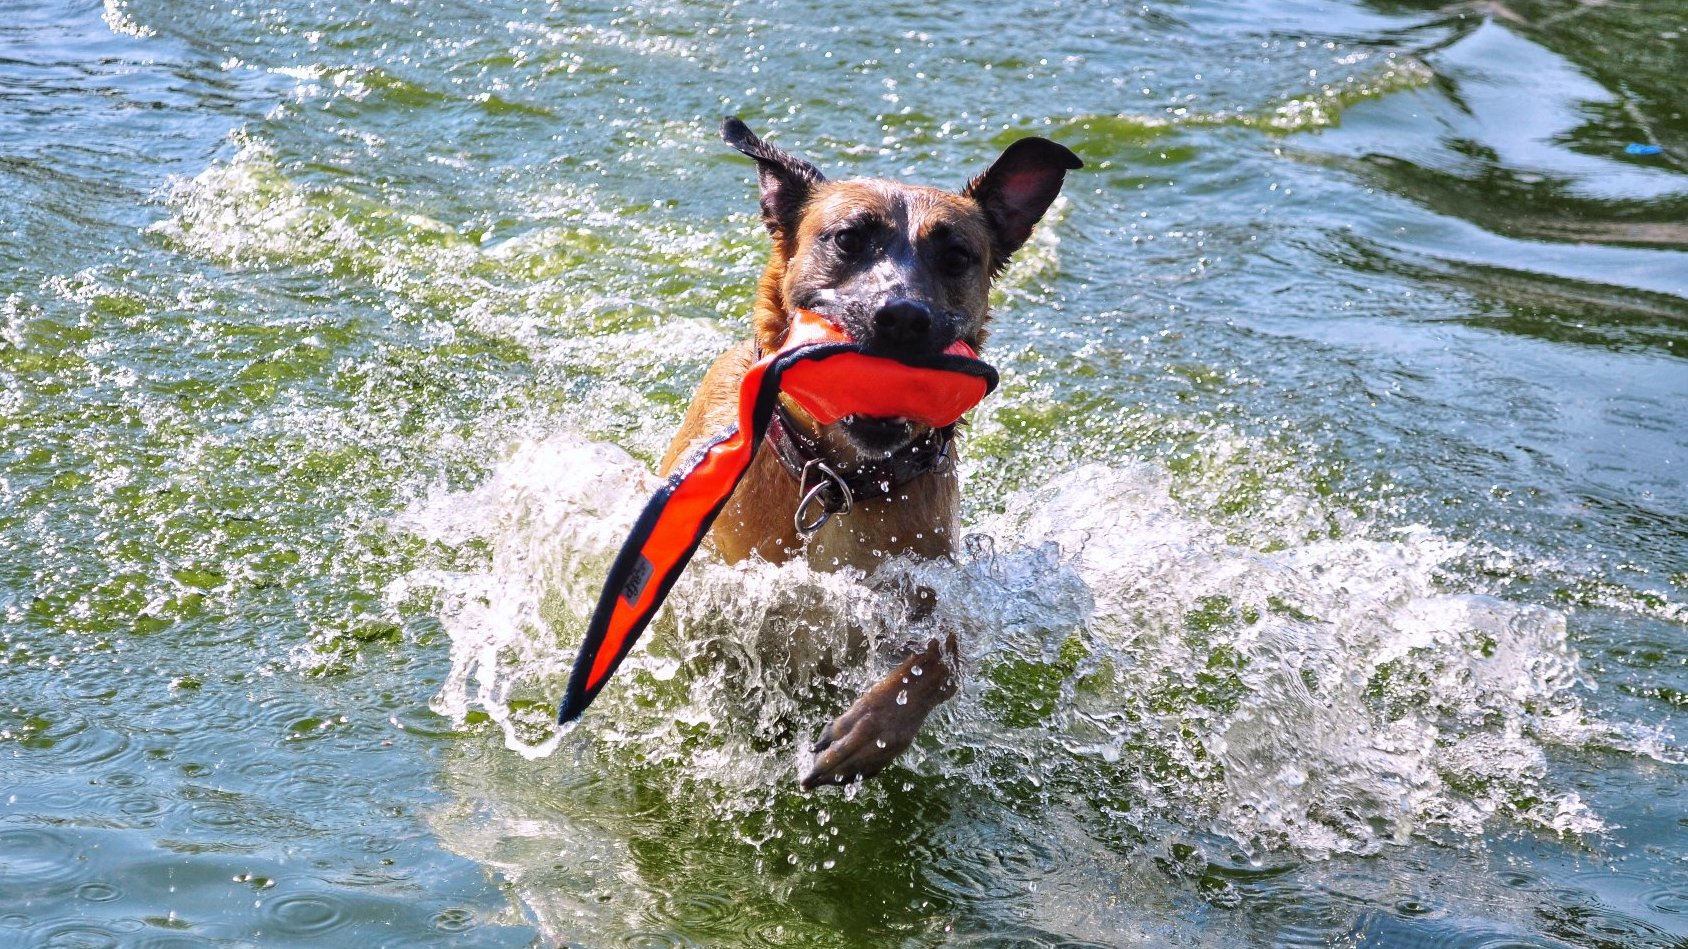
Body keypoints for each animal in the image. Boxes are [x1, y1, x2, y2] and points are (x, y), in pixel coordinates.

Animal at [658, 116, 1080, 783]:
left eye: (956, 257)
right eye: (849, 239)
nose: (902, 317)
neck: (837, 481)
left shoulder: (920, 589)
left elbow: (942, 655)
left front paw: (869, 734)